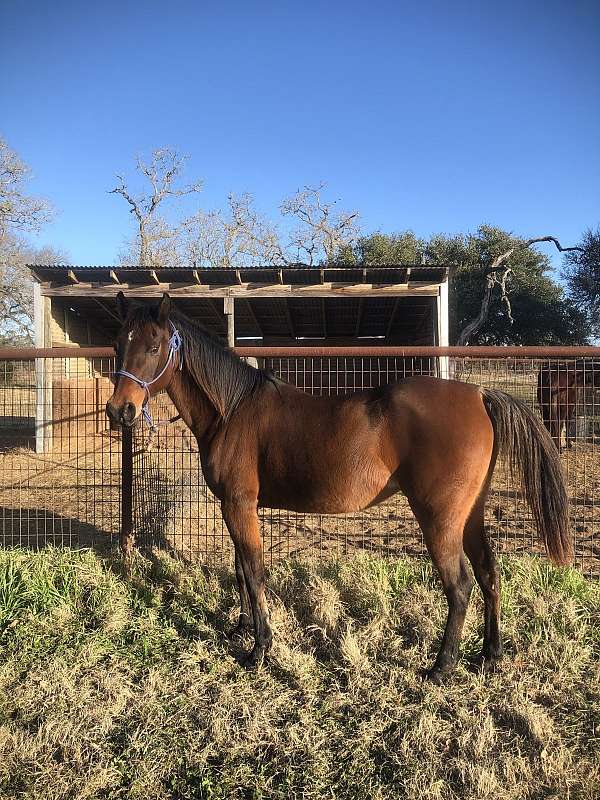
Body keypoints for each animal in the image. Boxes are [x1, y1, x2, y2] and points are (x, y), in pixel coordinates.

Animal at [108, 296, 572, 684]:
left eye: (154, 347)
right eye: (117, 344)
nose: (119, 410)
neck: (233, 410)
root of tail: (479, 394)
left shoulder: (240, 504)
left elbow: (254, 573)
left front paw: (259, 650)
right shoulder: (234, 506)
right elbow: (241, 569)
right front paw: (241, 627)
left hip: (440, 520)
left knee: (459, 586)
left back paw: (441, 668)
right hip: (470, 515)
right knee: (489, 573)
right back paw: (490, 655)